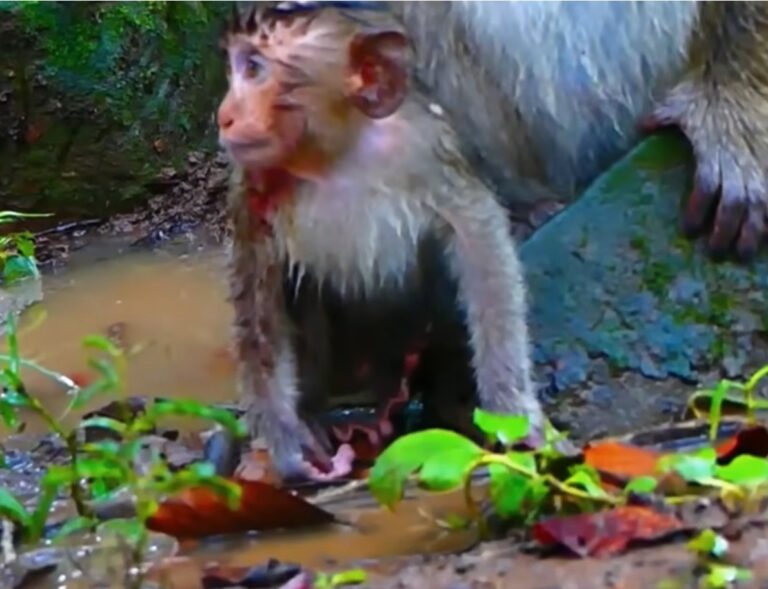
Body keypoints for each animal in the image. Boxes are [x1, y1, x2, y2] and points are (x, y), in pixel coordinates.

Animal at [217, 1, 543, 481]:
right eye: (235, 69)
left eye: (254, 68)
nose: (224, 115)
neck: (334, 157)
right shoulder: (254, 182)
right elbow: (259, 297)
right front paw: (289, 444)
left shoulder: (424, 149)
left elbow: (477, 239)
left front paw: (509, 408)